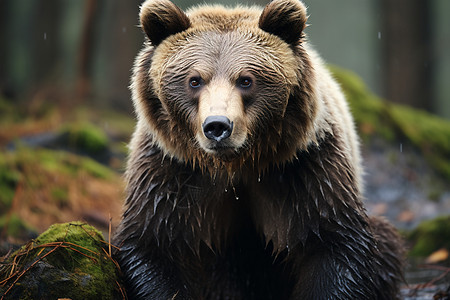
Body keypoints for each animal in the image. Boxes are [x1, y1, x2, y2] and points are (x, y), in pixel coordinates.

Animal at [112, 0, 404, 298]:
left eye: (245, 80)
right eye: (195, 80)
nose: (217, 126)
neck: (236, 165)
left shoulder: (304, 167)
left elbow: (333, 242)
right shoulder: (171, 171)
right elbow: (154, 243)